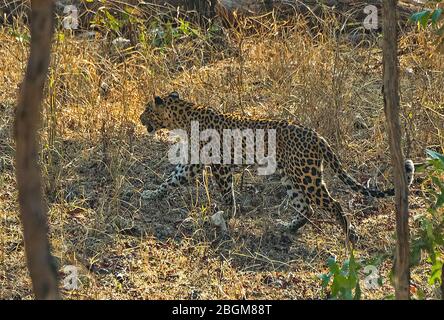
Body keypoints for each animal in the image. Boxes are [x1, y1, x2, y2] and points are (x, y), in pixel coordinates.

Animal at [140, 91, 416, 244]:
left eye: (146, 110)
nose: (140, 118)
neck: (184, 117)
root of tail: (317, 136)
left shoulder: (219, 166)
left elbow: (227, 192)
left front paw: (227, 216)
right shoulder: (194, 163)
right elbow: (171, 179)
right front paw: (151, 194)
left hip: (307, 177)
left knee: (332, 204)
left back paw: (351, 235)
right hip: (290, 176)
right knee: (306, 208)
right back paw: (287, 228)